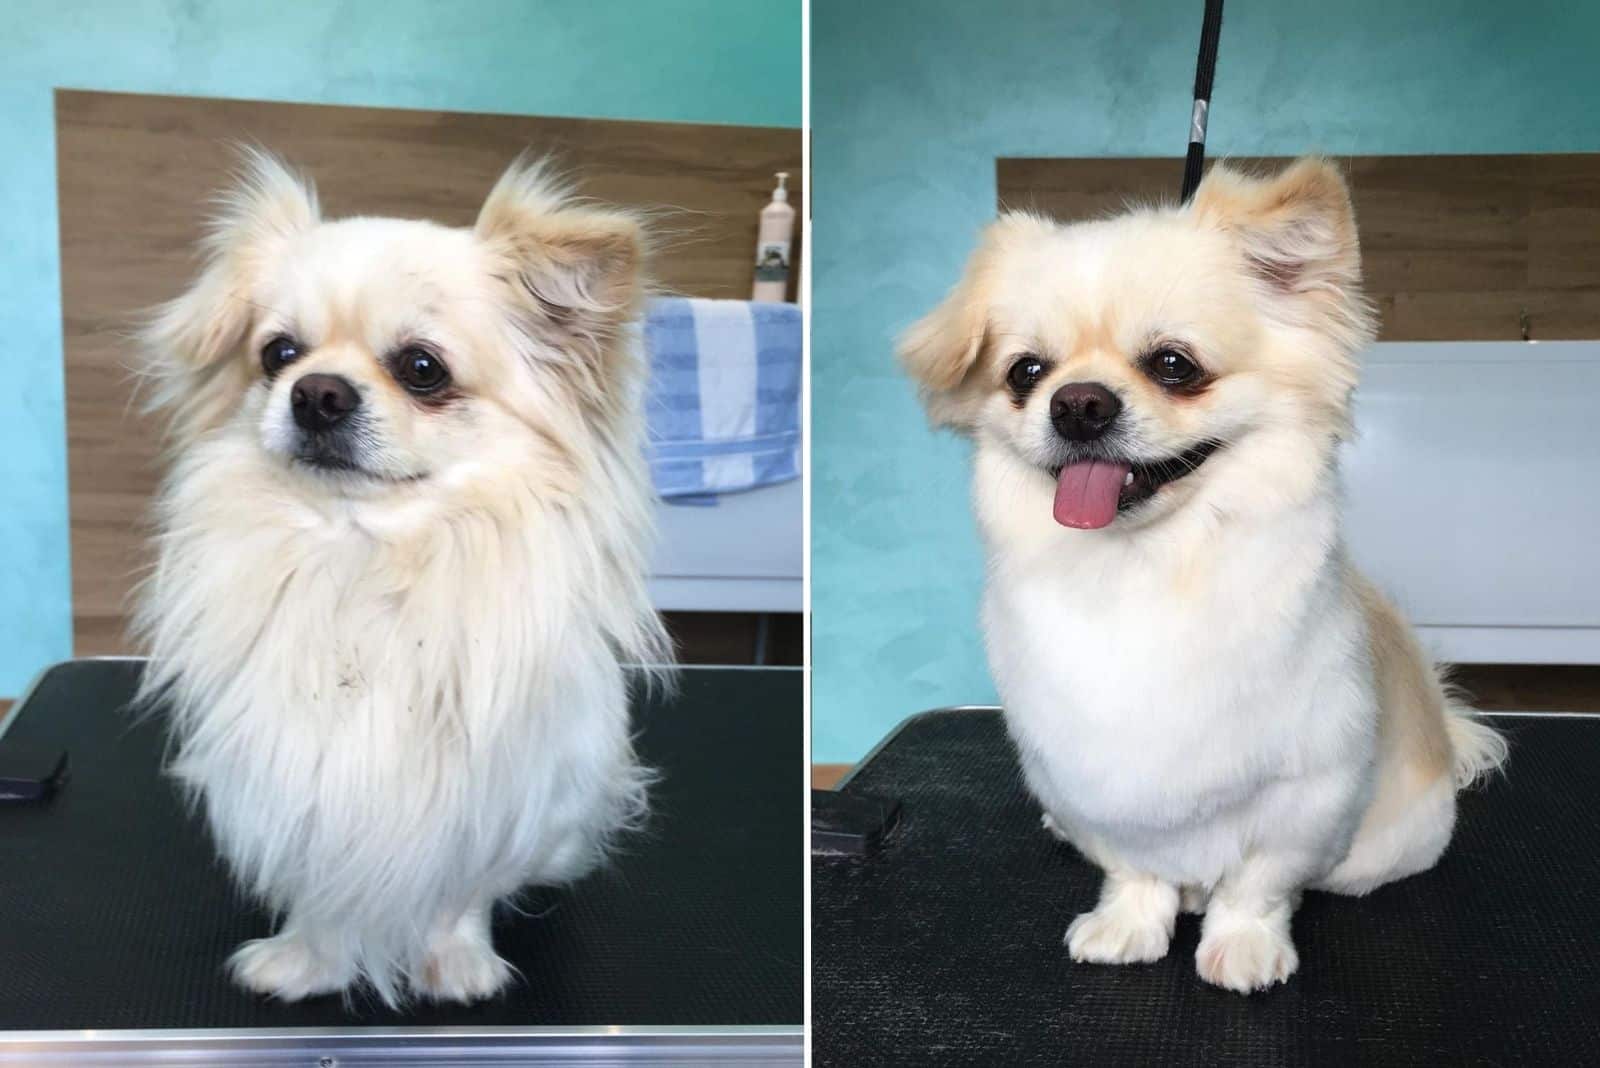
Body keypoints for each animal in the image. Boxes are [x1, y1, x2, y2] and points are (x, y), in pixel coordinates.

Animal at [131, 147, 668, 1004]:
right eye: (278, 354)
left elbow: (460, 892)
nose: (316, 393)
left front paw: (456, 965)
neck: (364, 559)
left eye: (422, 369)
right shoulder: (300, 781)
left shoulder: (493, 801)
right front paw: (306, 961)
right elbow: (321, 889)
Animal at [908, 156, 1504, 991]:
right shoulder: (1092, 780)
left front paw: (1244, 944)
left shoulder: (1306, 791)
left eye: (1173, 365)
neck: (1147, 568)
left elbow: (1259, 880)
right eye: (1027, 373)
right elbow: (1133, 867)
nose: (1077, 403)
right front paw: (1130, 924)